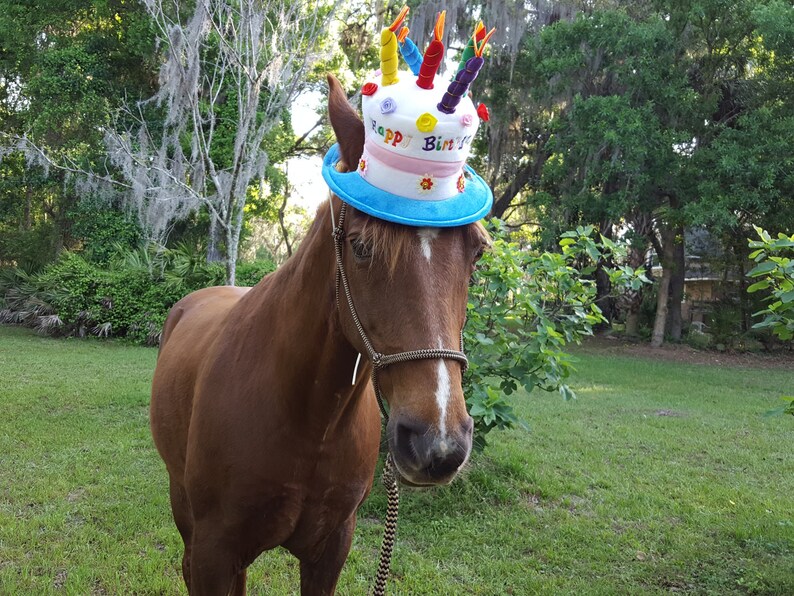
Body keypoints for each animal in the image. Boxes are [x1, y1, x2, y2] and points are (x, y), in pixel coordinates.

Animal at [150, 75, 490, 595]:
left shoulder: (330, 548)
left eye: (476, 253)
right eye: (362, 246)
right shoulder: (213, 550)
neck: (308, 418)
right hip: (183, 509)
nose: (438, 444)